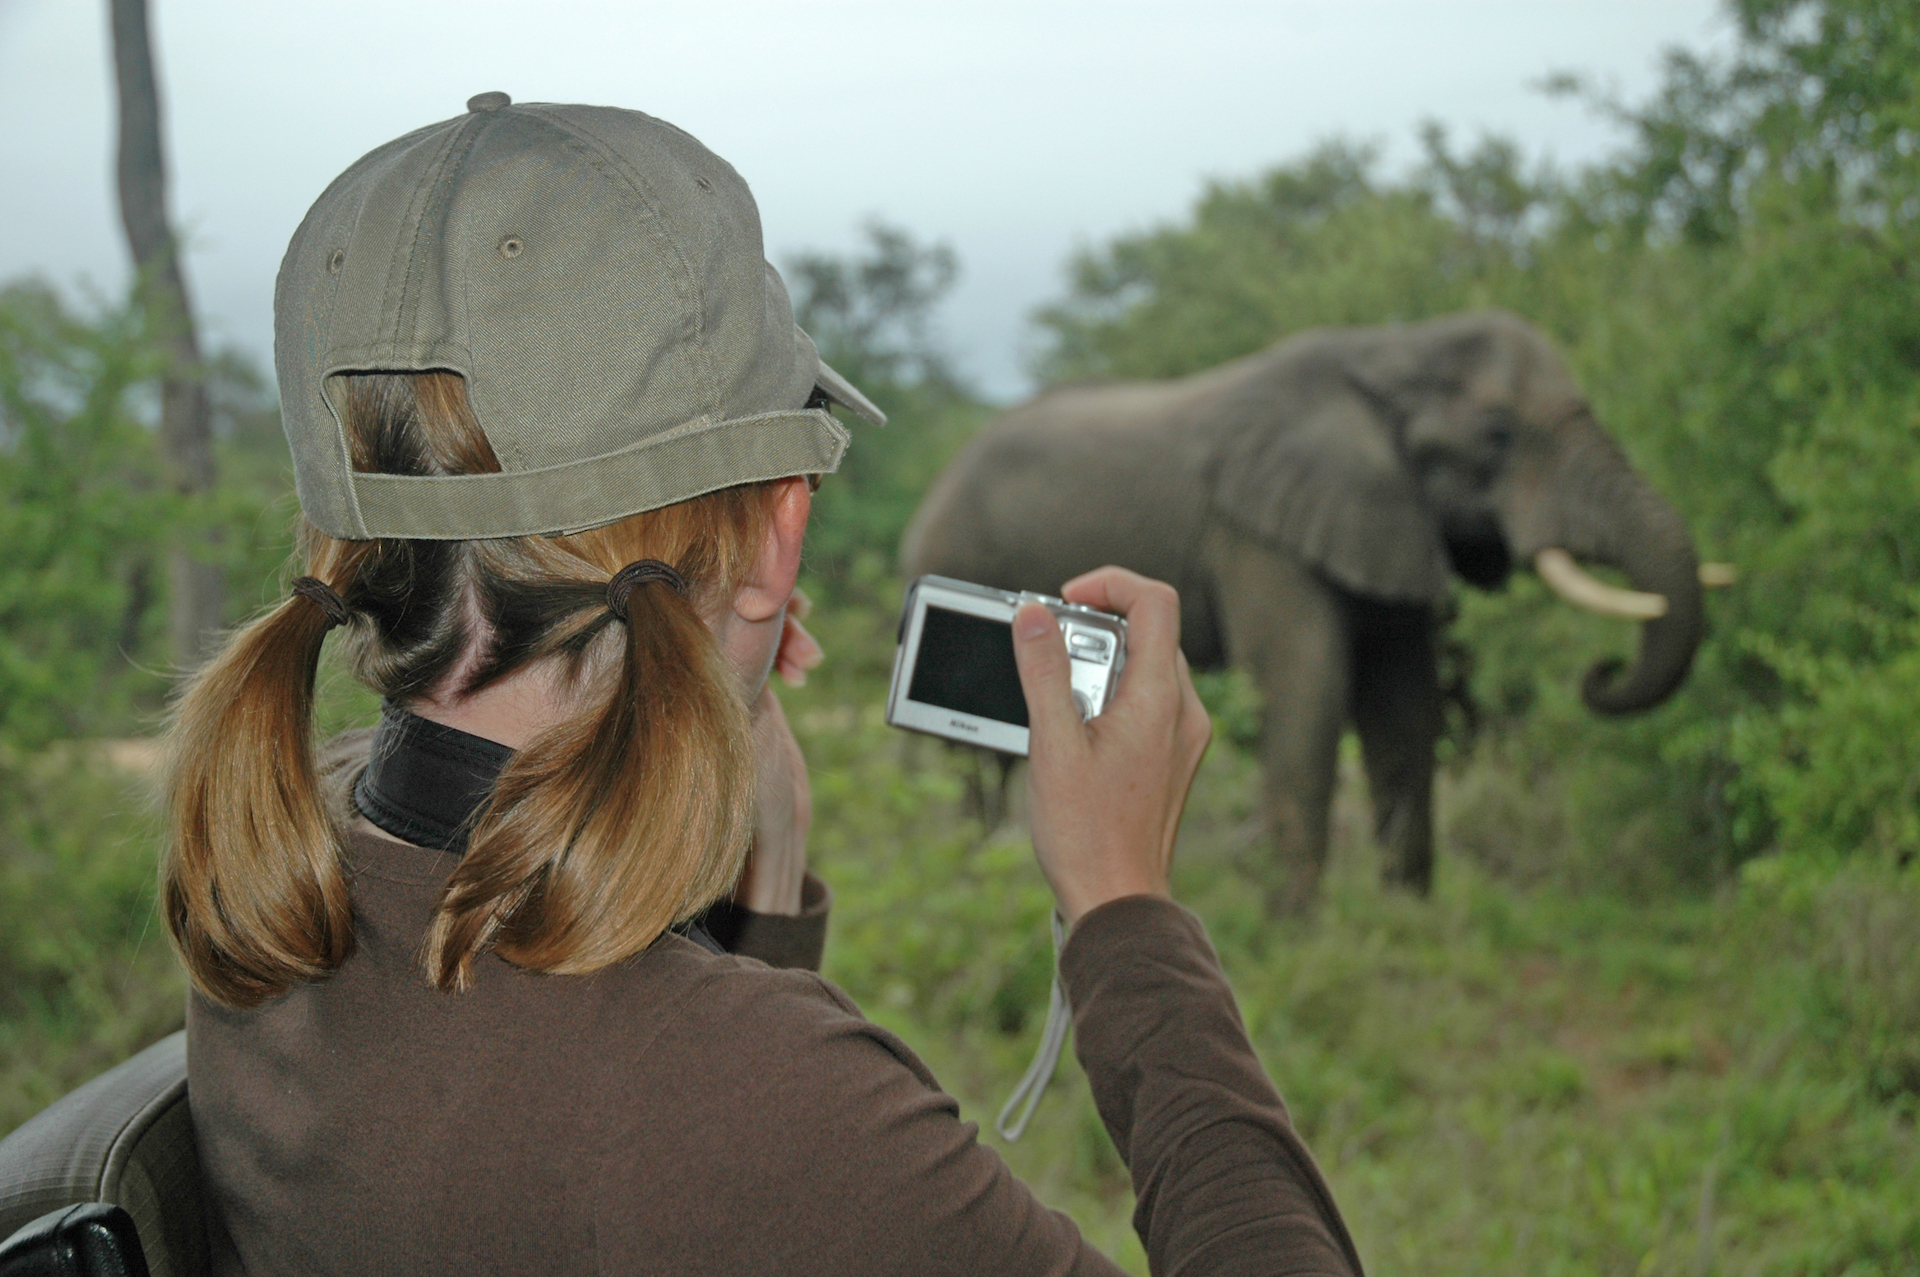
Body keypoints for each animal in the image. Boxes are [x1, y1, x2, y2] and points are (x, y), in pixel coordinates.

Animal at [900, 310, 1707, 914]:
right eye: (1498, 436)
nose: (1599, 672)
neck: (1393, 351)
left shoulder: (1386, 522)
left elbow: (1403, 706)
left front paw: (1407, 919)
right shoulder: (1260, 533)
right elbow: (1305, 686)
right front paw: (1296, 933)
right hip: (957, 549)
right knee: (969, 757)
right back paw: (967, 876)